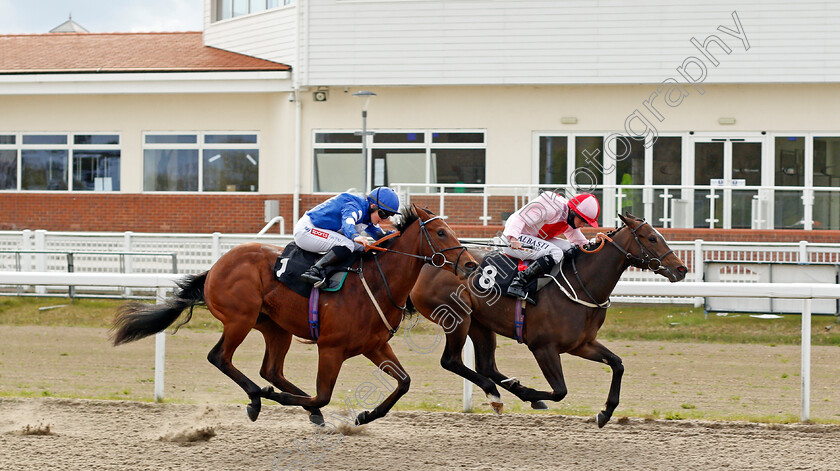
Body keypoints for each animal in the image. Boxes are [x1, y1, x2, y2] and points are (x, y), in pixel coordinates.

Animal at [111, 205, 476, 426]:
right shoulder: (331, 348)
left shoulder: (374, 345)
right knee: (221, 357)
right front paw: (279, 398)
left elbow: (404, 382)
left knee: (270, 369)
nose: (472, 264)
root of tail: (214, 268)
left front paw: (365, 416)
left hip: (275, 327)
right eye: (441, 233)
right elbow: (325, 394)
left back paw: (292, 405)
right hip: (240, 319)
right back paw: (257, 397)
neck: (376, 281)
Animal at [408, 214, 688, 428]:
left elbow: (617, 364)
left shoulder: (582, 344)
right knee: (451, 361)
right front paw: (530, 394)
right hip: (458, 318)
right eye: (651, 238)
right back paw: (502, 393)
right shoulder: (543, 347)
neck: (580, 284)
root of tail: (430, 262)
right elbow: (560, 391)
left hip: (481, 324)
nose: (681, 268)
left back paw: (504, 390)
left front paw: (605, 412)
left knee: (486, 366)